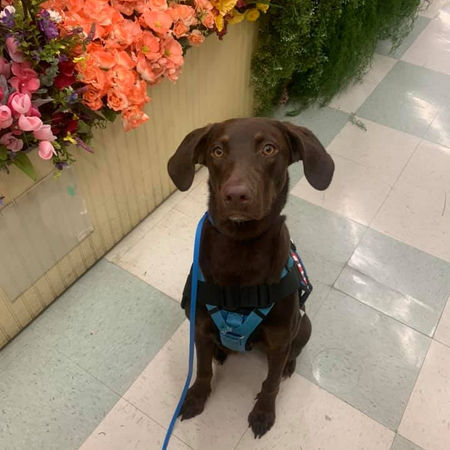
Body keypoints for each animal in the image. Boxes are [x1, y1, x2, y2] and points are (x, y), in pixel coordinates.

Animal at [168, 118, 334, 438]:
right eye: (217, 151)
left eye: (268, 149)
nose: (236, 195)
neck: (240, 249)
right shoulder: (199, 327)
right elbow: (202, 369)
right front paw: (195, 398)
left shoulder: (280, 340)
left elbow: (270, 383)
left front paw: (263, 413)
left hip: (304, 325)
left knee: (292, 352)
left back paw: (287, 366)